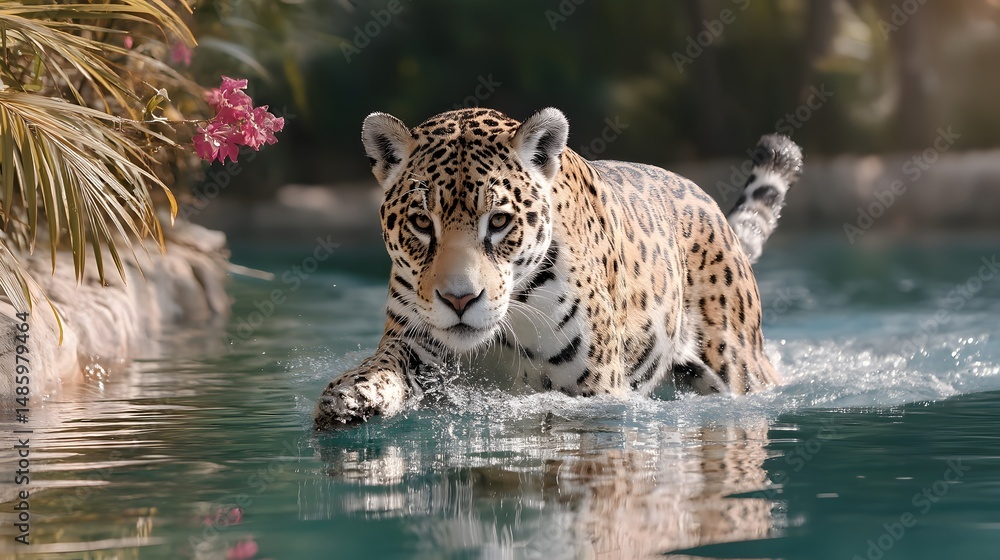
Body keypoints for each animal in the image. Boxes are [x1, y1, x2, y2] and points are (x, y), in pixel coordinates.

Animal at [314, 107, 802, 428]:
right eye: (421, 222)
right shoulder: (414, 342)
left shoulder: (595, 391)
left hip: (737, 362)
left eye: (499, 221)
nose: (459, 299)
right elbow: (382, 364)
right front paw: (350, 396)